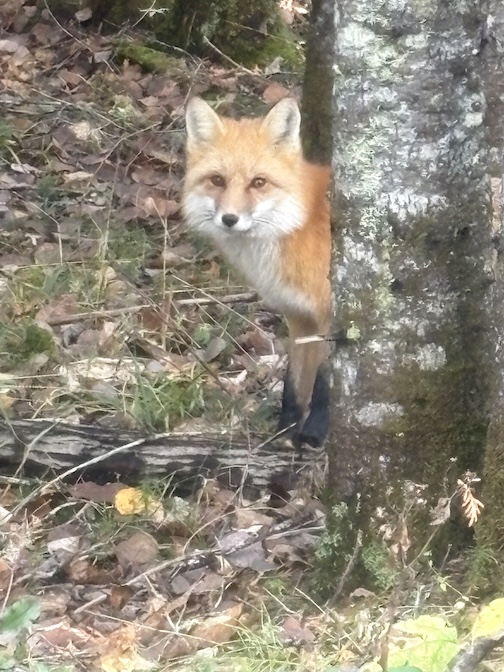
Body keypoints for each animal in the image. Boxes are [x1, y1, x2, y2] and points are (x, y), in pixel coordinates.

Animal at [182, 97, 332, 447]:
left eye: (258, 183)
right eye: (217, 180)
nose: (229, 219)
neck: (299, 226)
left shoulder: (329, 312)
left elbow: (325, 379)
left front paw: (315, 430)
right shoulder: (299, 317)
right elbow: (295, 383)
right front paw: (285, 431)